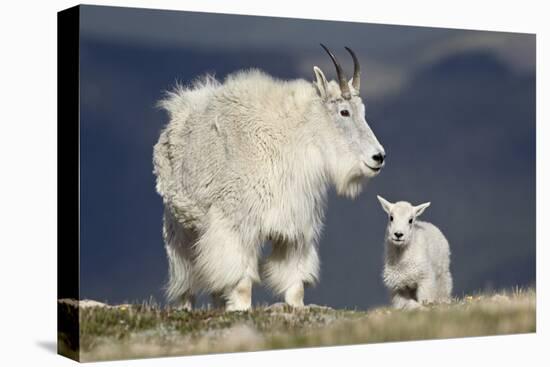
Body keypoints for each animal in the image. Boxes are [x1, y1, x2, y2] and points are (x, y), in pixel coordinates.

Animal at [153, 44, 386, 312]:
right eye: (344, 112)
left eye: (363, 111)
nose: (378, 157)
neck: (290, 138)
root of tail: (176, 114)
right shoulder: (236, 223)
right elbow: (241, 279)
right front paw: (241, 308)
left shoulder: (295, 226)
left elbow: (295, 280)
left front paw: (296, 308)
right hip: (178, 224)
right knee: (185, 272)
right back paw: (185, 306)